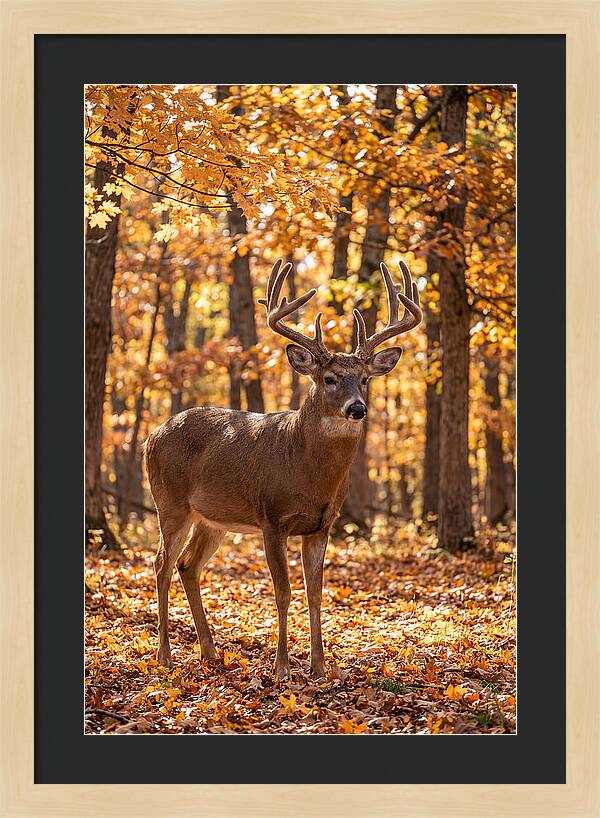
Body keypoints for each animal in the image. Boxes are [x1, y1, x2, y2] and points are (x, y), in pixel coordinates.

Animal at [145, 258, 422, 680]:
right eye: (329, 378)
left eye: (364, 379)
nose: (358, 408)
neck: (307, 470)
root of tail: (152, 436)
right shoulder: (272, 517)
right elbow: (283, 591)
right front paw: (281, 669)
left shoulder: (322, 525)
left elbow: (315, 593)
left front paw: (320, 667)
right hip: (170, 502)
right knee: (161, 563)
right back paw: (164, 656)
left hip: (212, 518)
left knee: (187, 565)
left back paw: (209, 651)